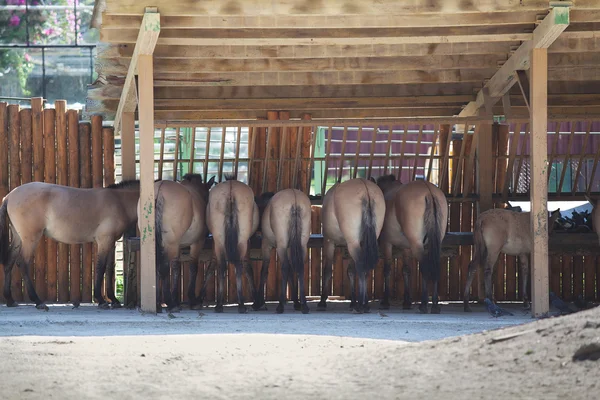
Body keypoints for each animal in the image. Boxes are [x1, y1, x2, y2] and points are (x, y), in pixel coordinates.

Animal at [0, 180, 139, 310]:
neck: (119, 201)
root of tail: (9, 196)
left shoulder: (111, 242)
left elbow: (109, 268)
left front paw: (114, 300)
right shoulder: (104, 240)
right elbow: (101, 267)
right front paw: (101, 300)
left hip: (18, 238)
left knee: (10, 262)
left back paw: (10, 300)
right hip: (30, 238)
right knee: (22, 263)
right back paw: (38, 301)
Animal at [141, 173, 216, 314]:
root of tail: (160, 188)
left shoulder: (177, 246)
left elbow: (176, 267)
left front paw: (176, 299)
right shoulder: (197, 242)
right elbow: (193, 267)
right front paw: (192, 300)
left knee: (157, 266)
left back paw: (159, 303)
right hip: (171, 244)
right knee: (164, 267)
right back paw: (169, 303)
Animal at [199, 175, 260, 312]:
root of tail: (231, 192)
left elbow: (212, 266)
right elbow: (248, 267)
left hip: (219, 238)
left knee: (222, 266)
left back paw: (220, 305)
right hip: (241, 239)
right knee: (238, 265)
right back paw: (240, 304)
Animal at [318, 177, 384, 312]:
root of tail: (365, 190)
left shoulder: (329, 241)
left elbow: (327, 270)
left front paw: (322, 301)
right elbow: (351, 272)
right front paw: (353, 301)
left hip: (352, 243)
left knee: (361, 265)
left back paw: (362, 305)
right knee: (365, 268)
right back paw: (364, 303)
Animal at [378, 177, 448, 314]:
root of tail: (428, 191)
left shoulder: (386, 244)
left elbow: (387, 270)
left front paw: (385, 301)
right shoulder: (406, 248)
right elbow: (406, 270)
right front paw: (406, 302)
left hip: (417, 244)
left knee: (425, 267)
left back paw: (424, 305)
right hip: (435, 243)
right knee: (435, 266)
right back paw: (435, 305)